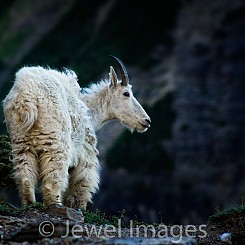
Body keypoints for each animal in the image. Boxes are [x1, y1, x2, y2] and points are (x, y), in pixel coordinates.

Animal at [2, 56, 150, 210]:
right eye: (126, 93)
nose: (147, 121)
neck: (89, 112)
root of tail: (26, 96)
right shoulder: (85, 152)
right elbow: (81, 185)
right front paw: (80, 208)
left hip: (21, 143)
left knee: (25, 178)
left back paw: (30, 204)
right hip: (56, 143)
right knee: (52, 182)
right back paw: (57, 206)